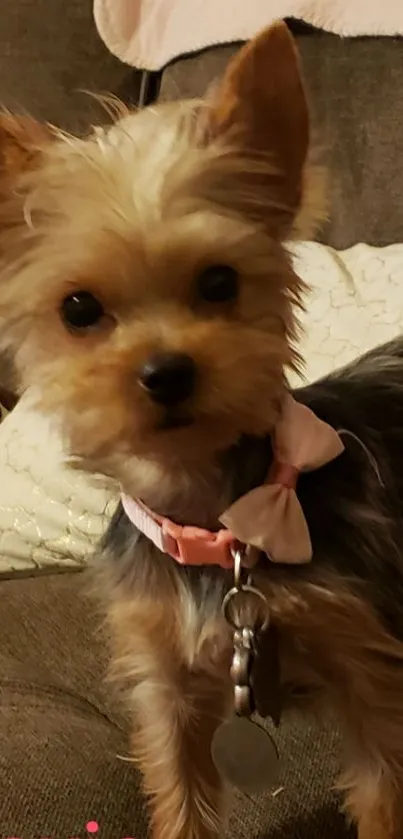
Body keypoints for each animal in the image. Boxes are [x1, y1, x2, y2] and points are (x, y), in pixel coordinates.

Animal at [0, 18, 403, 839]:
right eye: (78, 308)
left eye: (219, 281)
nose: (166, 373)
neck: (213, 520)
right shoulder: (167, 690)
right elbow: (178, 793)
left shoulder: (370, 673)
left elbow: (383, 790)